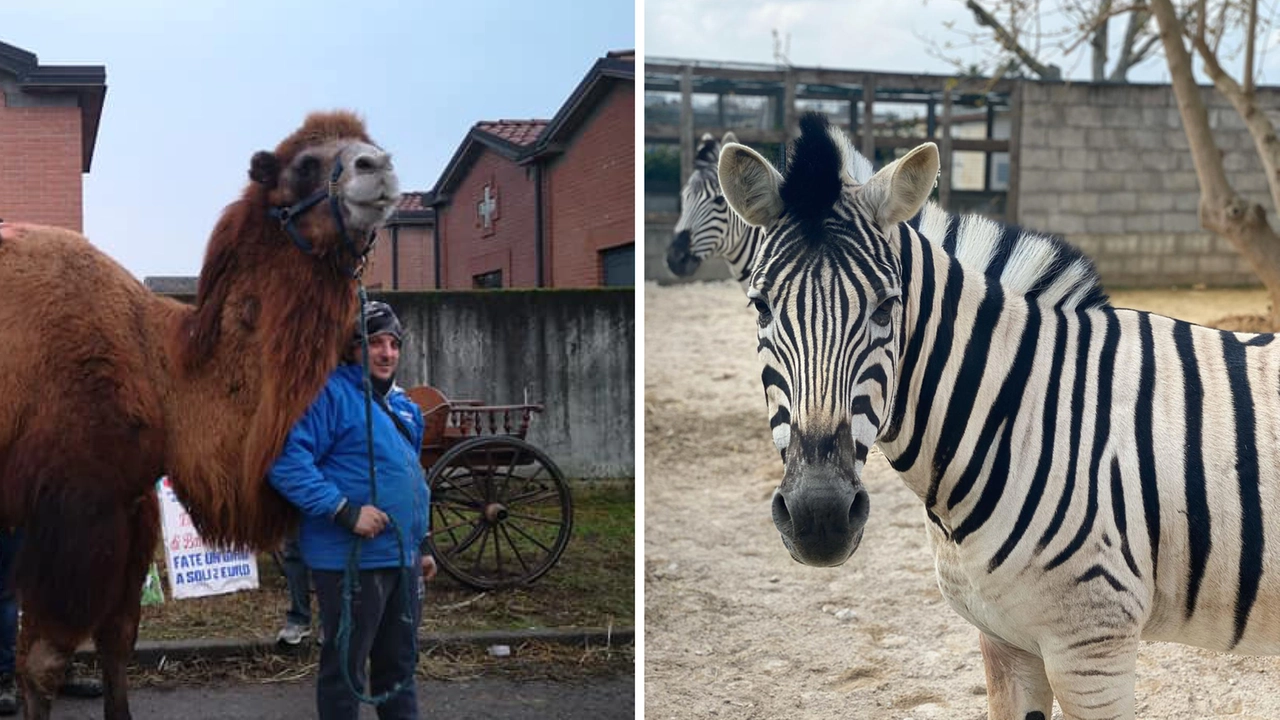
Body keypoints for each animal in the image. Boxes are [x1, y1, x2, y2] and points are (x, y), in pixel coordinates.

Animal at [0, 109, 401, 712]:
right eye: (306, 164)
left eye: (367, 144)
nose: (378, 166)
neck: (161, 367)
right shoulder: (74, 510)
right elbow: (42, 664)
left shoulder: (132, 505)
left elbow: (118, 642)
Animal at [721, 109, 1280, 712]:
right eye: (760, 307)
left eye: (887, 307)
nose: (819, 518)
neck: (1021, 413)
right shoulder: (1003, 639)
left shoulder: (1093, 646)